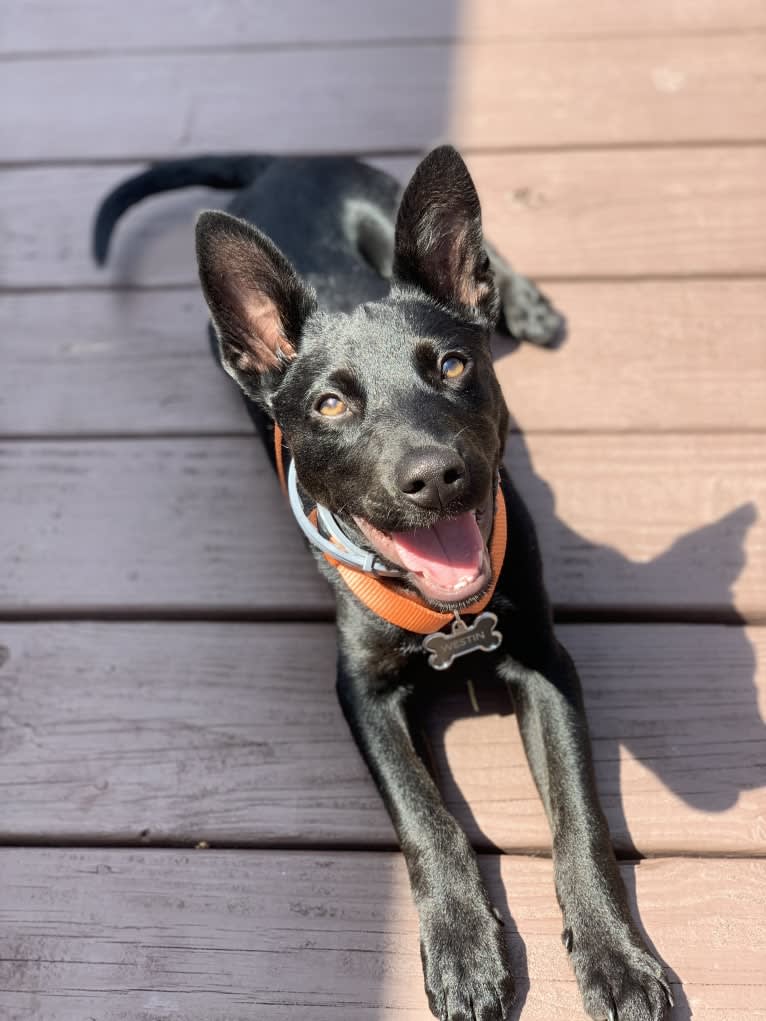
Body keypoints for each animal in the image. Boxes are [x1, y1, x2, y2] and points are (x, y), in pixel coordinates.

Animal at [94, 149, 669, 1021]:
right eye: (330, 403)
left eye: (454, 365)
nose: (434, 477)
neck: (446, 616)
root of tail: (278, 163)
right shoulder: (359, 689)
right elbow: (424, 813)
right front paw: (462, 947)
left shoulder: (544, 661)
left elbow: (579, 814)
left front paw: (615, 955)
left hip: (381, 199)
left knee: (483, 264)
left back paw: (525, 303)